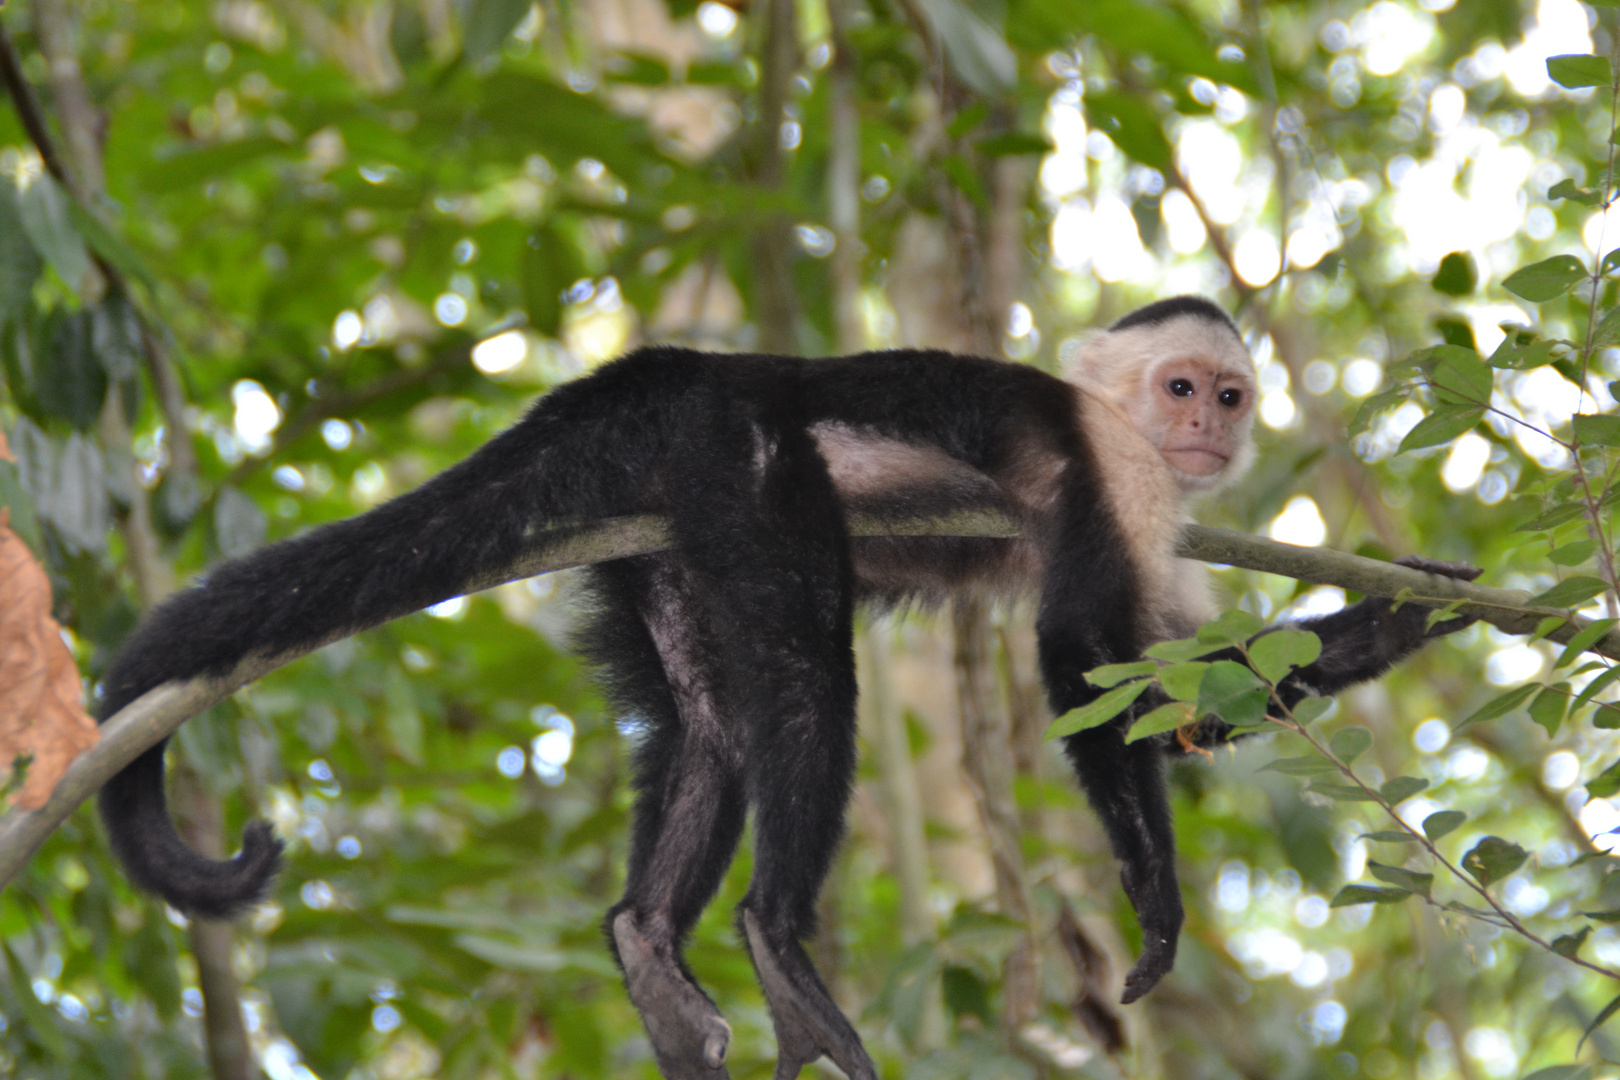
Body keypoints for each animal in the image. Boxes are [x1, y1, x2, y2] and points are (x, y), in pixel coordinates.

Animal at [94, 296, 1477, 1080]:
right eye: (1179, 386)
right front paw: (1155, 906)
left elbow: (1198, 693)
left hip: (662, 536)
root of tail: (673, 369)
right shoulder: (1117, 471)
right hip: (741, 459)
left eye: (1229, 394)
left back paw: (649, 945)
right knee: (808, 682)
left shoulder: (1169, 512)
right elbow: (1090, 660)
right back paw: (775, 944)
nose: (1208, 428)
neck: (1127, 431)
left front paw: (1421, 604)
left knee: (710, 724)